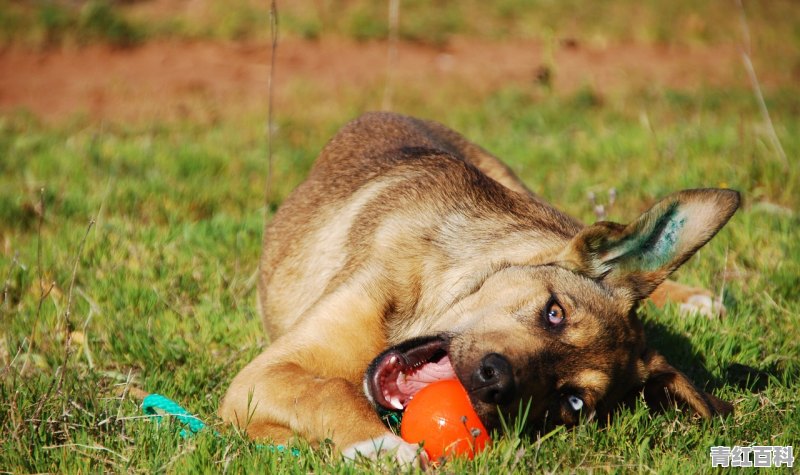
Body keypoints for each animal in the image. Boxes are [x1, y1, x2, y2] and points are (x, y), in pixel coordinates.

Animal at [217, 111, 736, 464]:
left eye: (572, 403)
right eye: (554, 312)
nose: (495, 380)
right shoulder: (262, 376)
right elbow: (326, 391)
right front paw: (384, 447)